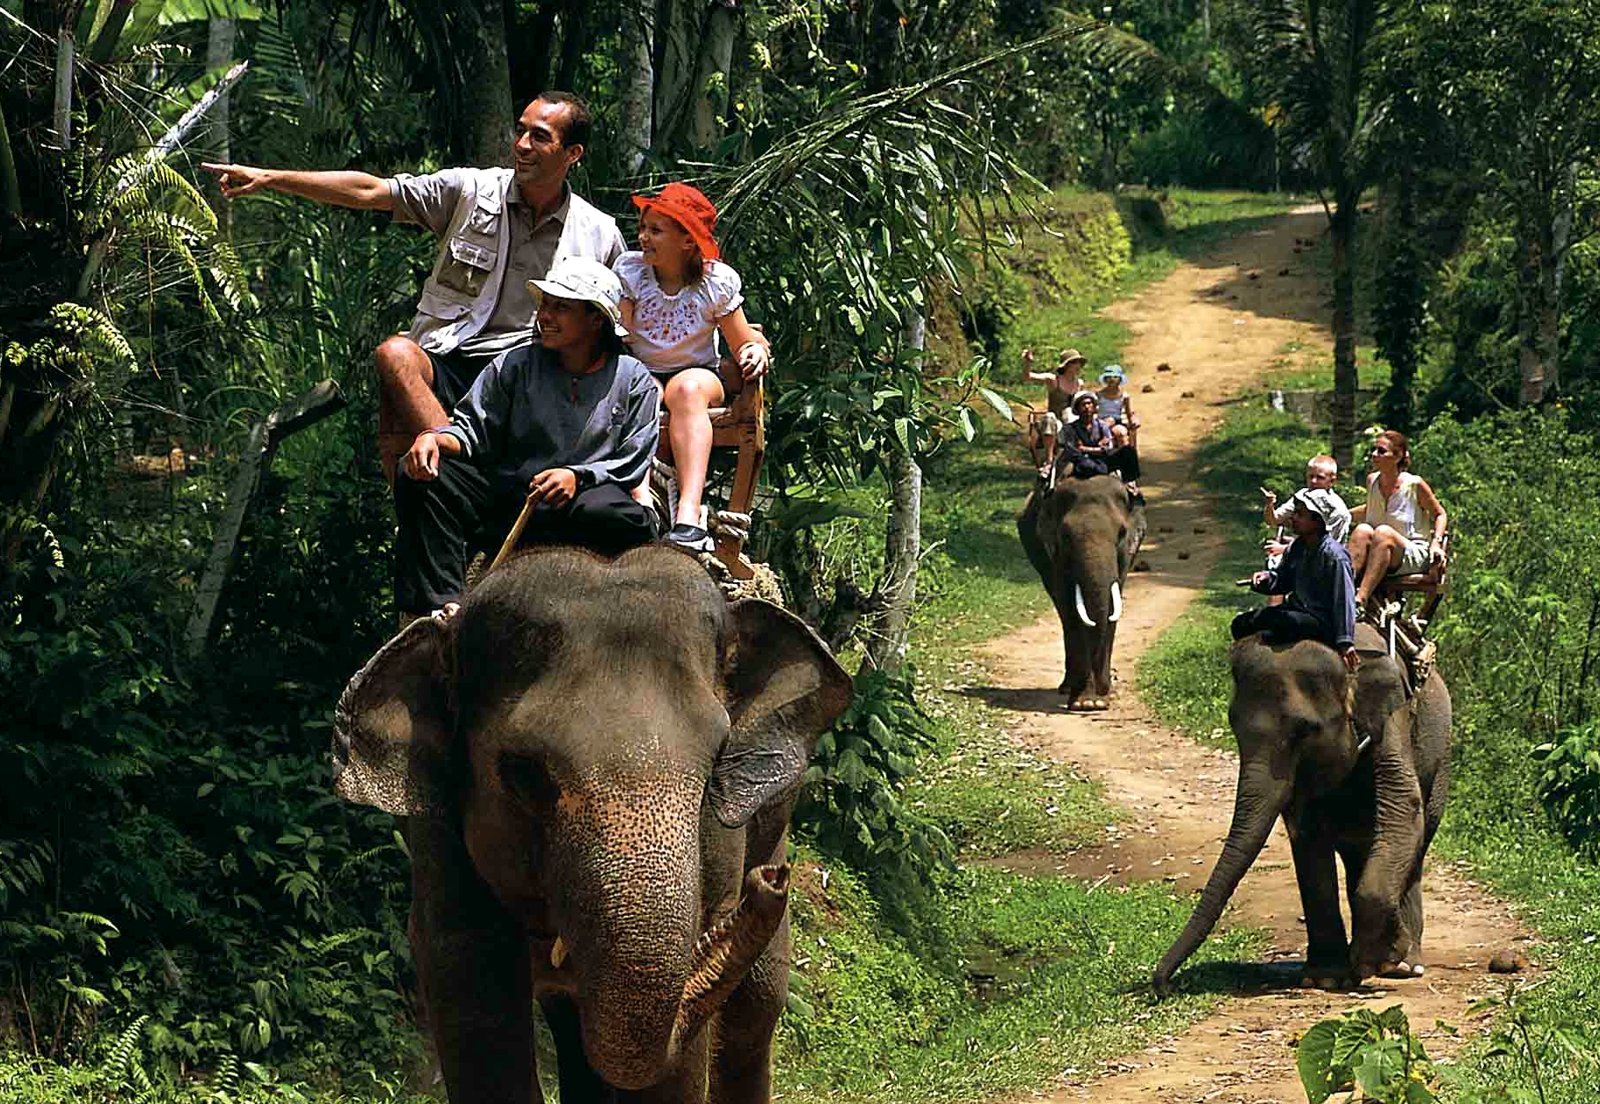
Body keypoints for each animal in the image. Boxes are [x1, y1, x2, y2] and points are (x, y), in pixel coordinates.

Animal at [332, 544, 857, 1100]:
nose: (770, 882)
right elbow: (472, 978)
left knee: (758, 1003)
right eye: (524, 773)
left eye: (717, 760)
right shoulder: (438, 831)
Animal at [1017, 470, 1145, 710]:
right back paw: (1067, 688)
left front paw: (1098, 701)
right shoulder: (1053, 551)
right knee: (1063, 611)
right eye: (1065, 535)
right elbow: (1070, 606)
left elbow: (1113, 607)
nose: (1106, 687)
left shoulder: (1126, 555)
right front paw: (1086, 703)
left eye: (1122, 533)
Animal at [1158, 620, 1459, 992]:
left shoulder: (1393, 718)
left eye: (1307, 730)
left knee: (1415, 841)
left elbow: (1403, 804)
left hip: (1441, 760)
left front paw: (1378, 962)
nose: (1163, 985)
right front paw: (1326, 977)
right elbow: (1306, 832)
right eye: (1234, 727)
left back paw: (1406, 965)